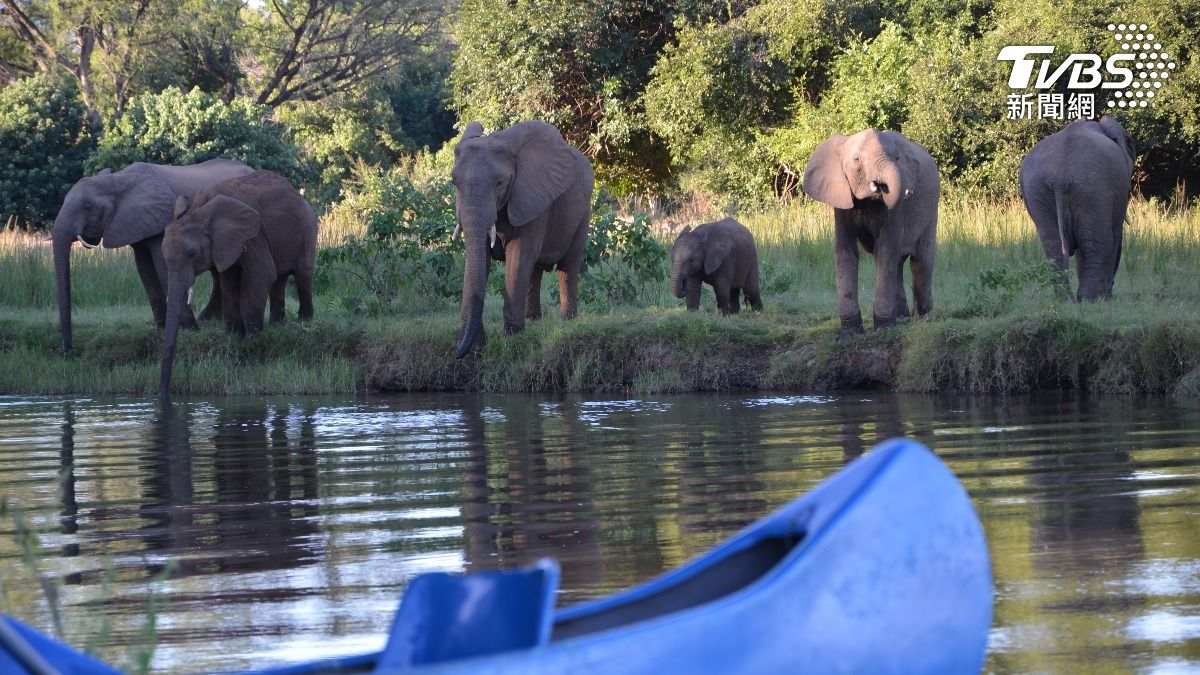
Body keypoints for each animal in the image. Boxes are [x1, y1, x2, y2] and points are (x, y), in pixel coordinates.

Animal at [51, 159, 254, 353]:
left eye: (88, 207)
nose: (67, 351)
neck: (117, 178)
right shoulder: (136, 224)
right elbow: (145, 270)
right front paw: (161, 330)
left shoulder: (162, 221)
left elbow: (163, 267)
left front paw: (189, 331)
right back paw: (208, 320)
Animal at [159, 171, 317, 397]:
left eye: (192, 254)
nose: (163, 394)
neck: (199, 211)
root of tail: (298, 193)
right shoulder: (225, 244)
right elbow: (228, 280)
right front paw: (233, 335)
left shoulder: (253, 235)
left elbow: (262, 273)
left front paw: (249, 343)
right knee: (279, 280)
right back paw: (277, 325)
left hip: (307, 228)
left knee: (302, 273)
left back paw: (305, 321)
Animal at [451, 120, 595, 358]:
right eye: (454, 183)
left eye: (500, 183)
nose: (457, 352)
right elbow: (482, 259)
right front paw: (476, 347)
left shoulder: (533, 197)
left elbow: (519, 254)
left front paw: (512, 339)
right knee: (535, 269)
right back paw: (533, 319)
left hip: (583, 212)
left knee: (567, 265)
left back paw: (567, 320)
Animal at [802, 129, 939, 340]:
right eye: (857, 160)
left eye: (897, 158)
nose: (908, 192)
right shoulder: (842, 200)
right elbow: (845, 253)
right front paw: (849, 334)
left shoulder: (895, 212)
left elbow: (885, 250)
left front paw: (884, 329)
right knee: (898, 263)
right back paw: (903, 318)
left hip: (932, 208)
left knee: (920, 261)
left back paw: (922, 317)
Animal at [1019, 117, 1136, 300]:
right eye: (1130, 143)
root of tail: (1059, 176)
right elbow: (1116, 235)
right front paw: (1106, 296)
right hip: (1094, 188)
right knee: (1100, 243)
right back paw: (1090, 300)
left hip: (1036, 189)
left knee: (1053, 246)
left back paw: (1066, 299)